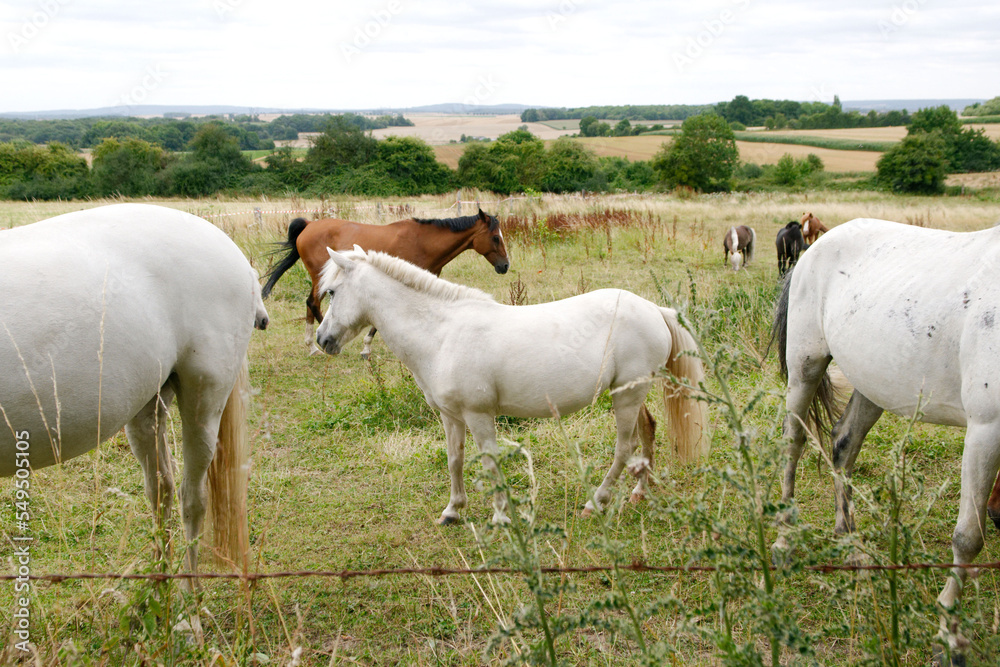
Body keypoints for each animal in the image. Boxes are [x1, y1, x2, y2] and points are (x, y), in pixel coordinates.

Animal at [261, 209, 510, 356]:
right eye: (495, 238)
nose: (505, 266)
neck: (423, 242)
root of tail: (308, 225)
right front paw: (365, 347)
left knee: (310, 303)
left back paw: (312, 346)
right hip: (321, 278)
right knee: (313, 303)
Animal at [314, 247, 709, 524]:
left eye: (332, 291)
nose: (322, 340)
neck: (442, 333)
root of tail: (655, 310)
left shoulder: (478, 415)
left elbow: (489, 463)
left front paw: (501, 515)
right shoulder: (450, 416)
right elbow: (455, 459)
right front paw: (452, 510)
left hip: (626, 396)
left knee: (624, 448)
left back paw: (595, 503)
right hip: (629, 391)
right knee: (648, 431)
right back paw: (639, 492)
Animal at [772, 217, 1000, 661]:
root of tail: (814, 248)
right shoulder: (986, 428)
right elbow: (969, 537)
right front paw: (949, 636)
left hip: (871, 383)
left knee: (843, 445)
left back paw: (852, 546)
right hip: (805, 367)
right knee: (793, 444)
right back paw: (784, 539)